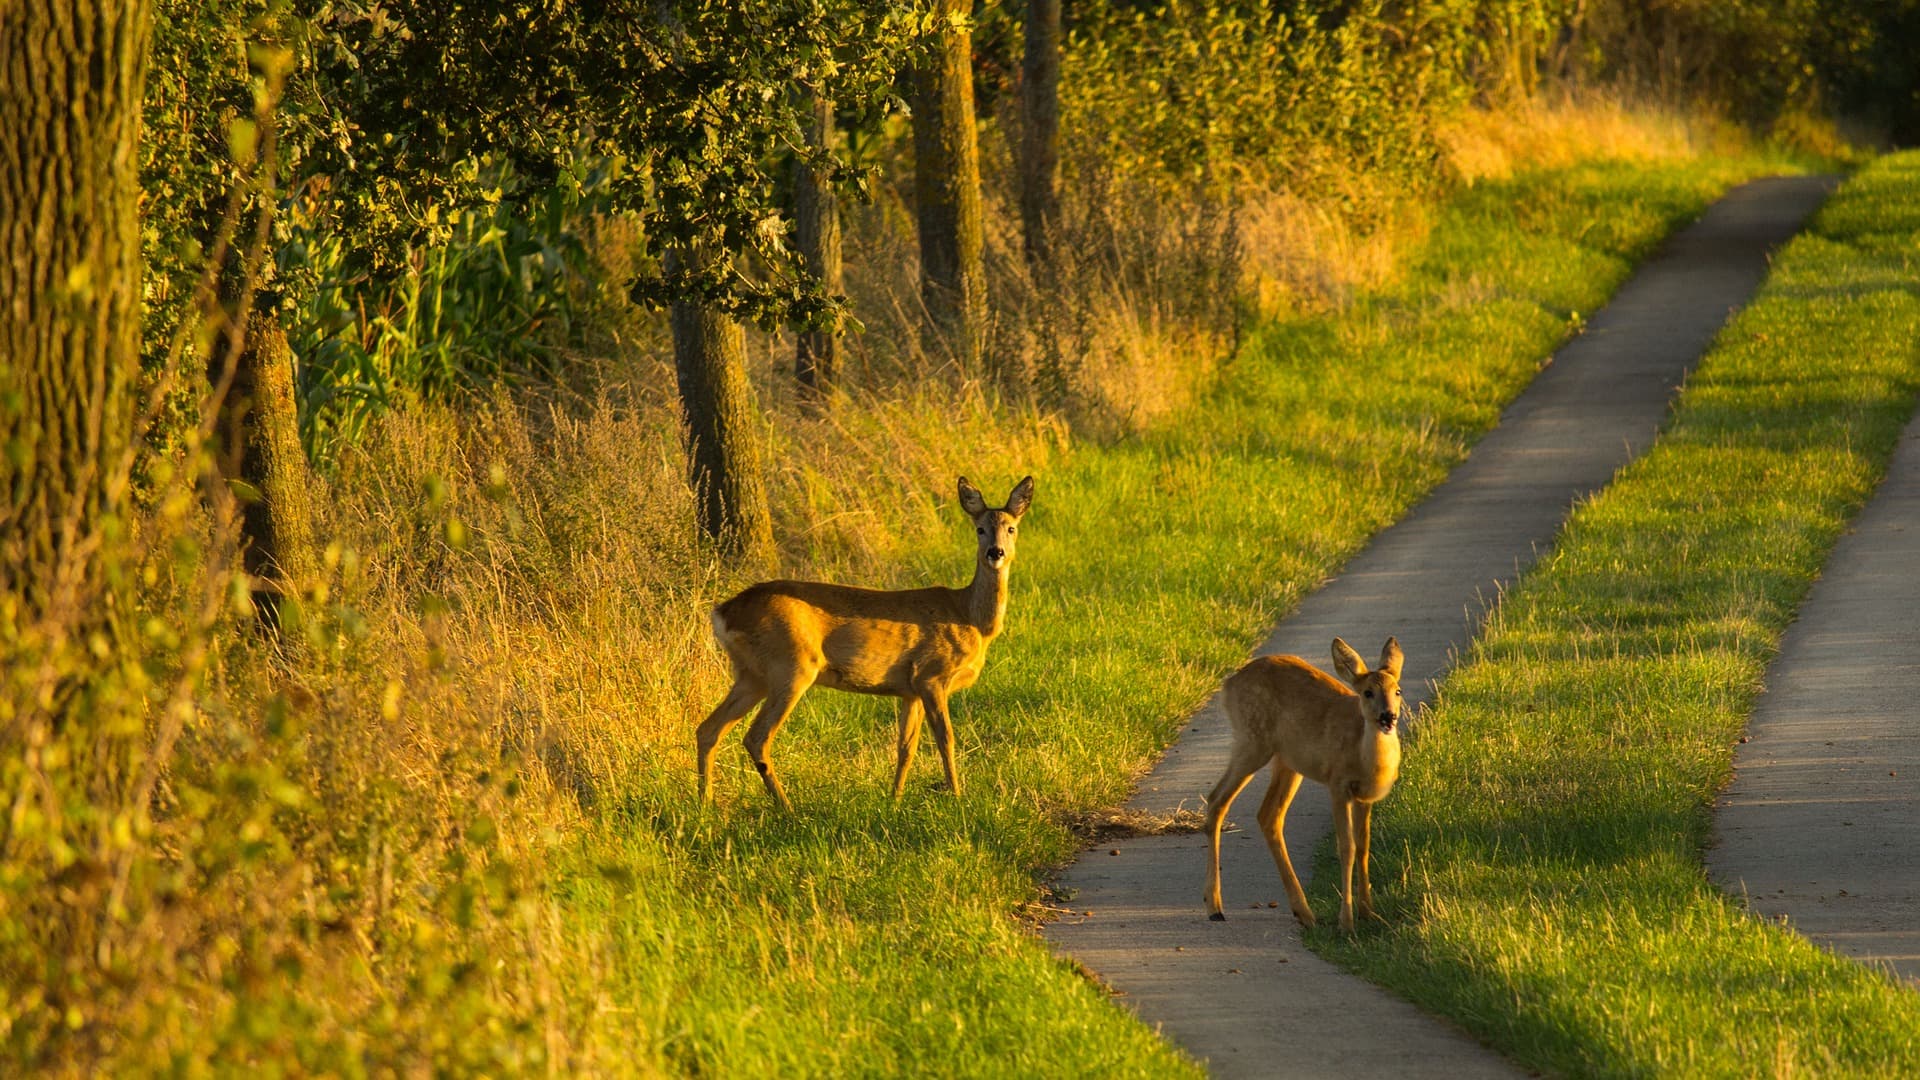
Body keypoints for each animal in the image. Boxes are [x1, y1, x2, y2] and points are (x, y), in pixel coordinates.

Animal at [695, 472, 1036, 807]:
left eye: (1011, 528)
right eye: (980, 529)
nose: (995, 552)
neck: (970, 618)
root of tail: (723, 613)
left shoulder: (910, 690)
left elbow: (906, 746)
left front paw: (894, 799)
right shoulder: (931, 675)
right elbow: (946, 737)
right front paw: (956, 795)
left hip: (751, 673)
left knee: (708, 728)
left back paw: (705, 804)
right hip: (790, 665)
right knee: (756, 736)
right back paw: (786, 807)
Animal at [1205, 634, 1405, 930]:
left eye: (1397, 691)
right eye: (1368, 692)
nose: (1388, 716)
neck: (1362, 754)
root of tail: (1229, 683)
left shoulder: (1364, 797)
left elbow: (1363, 847)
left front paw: (1369, 913)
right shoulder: (1337, 784)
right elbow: (1346, 847)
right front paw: (1346, 923)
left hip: (1287, 761)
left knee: (1268, 815)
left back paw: (1304, 913)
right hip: (1252, 740)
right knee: (1217, 800)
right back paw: (1215, 907)